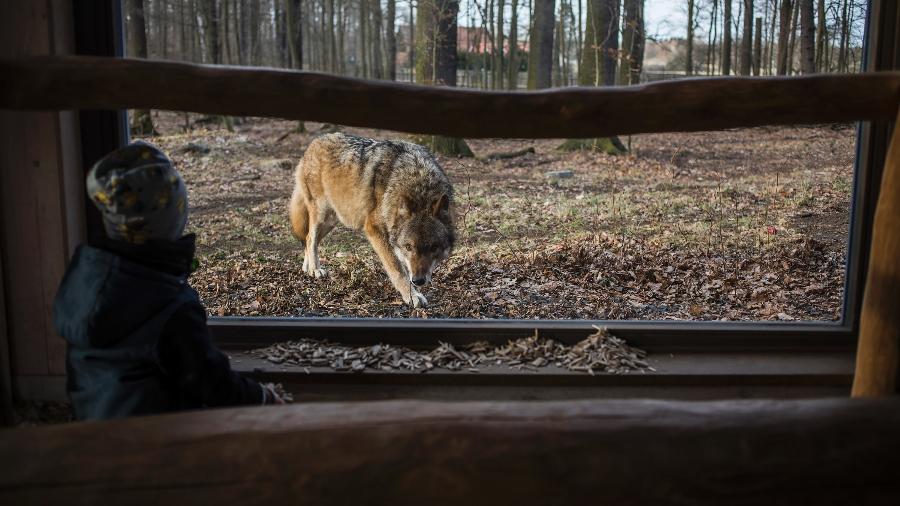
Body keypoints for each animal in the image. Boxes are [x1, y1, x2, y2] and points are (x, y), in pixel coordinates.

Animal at [290, 132, 454, 306]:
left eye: (434, 247)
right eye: (408, 247)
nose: (418, 280)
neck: (417, 181)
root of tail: (315, 141)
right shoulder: (374, 228)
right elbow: (397, 268)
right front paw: (412, 295)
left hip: (332, 220)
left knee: (308, 239)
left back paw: (308, 268)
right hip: (322, 213)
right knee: (310, 237)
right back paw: (315, 269)